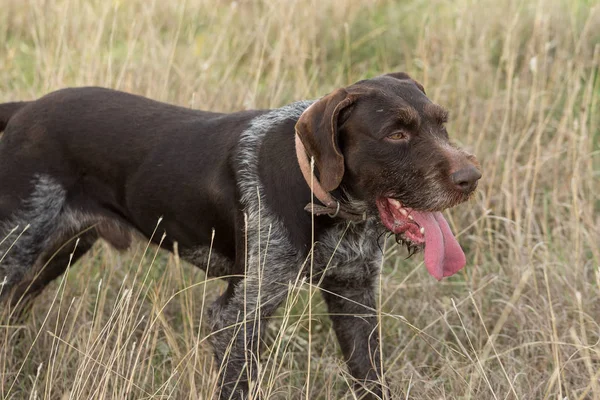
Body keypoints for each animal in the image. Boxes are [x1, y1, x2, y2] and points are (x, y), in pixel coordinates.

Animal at [0, 72, 478, 400]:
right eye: (396, 133)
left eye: (442, 124)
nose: (471, 178)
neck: (319, 195)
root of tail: (26, 108)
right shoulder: (237, 316)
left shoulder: (355, 298)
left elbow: (370, 377)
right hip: (19, 242)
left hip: (61, 247)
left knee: (15, 304)